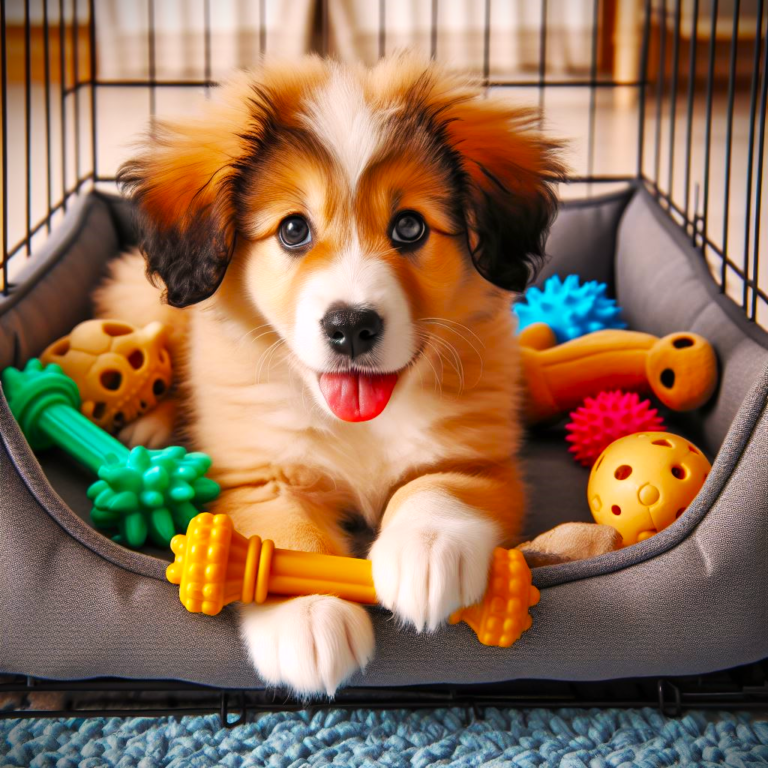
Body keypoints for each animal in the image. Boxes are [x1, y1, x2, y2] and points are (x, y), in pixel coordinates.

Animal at [94, 54, 564, 696]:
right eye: (294, 230)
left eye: (410, 227)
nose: (351, 326)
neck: (359, 422)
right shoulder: (258, 475)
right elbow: (287, 535)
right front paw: (309, 614)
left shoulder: (478, 457)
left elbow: (436, 486)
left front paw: (428, 551)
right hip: (149, 308)